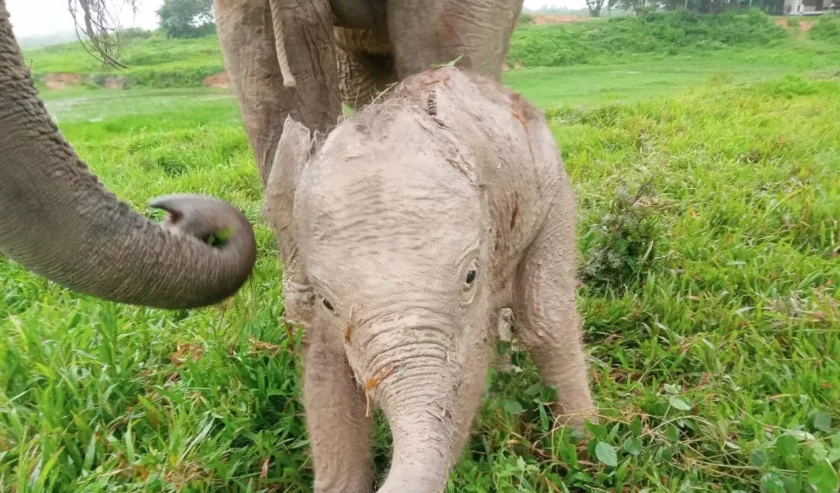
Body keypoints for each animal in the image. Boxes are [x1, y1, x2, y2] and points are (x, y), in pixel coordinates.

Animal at [264, 66, 596, 492]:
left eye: (470, 276)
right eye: (327, 301)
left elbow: (464, 383)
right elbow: (324, 372)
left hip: (553, 191)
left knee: (545, 319)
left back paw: (583, 444)